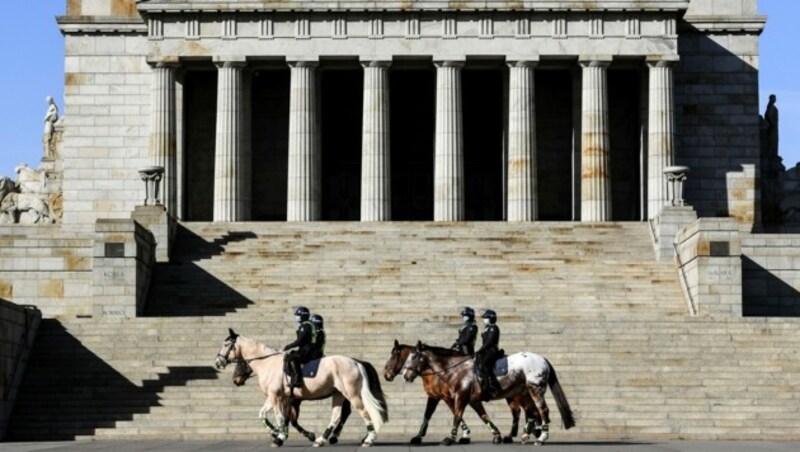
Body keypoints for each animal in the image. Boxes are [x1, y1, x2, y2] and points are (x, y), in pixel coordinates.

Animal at [212, 330, 388, 446]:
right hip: (338, 394)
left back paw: (369, 439)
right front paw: (278, 433)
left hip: (352, 394)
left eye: (226, 344)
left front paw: (279, 436)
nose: (218, 362)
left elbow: (279, 417)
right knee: (337, 415)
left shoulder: (276, 397)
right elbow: (268, 415)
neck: (267, 363)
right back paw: (321, 439)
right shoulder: (278, 397)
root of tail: (356, 362)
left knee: (363, 411)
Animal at [404, 342, 580, 444]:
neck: (454, 369)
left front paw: (450, 438)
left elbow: (457, 416)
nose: (405, 376)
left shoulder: (460, 397)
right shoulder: (470, 399)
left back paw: (542, 437)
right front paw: (496, 435)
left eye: (413, 357)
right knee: (532, 411)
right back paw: (525, 436)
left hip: (534, 389)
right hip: (525, 392)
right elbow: (483, 416)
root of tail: (543, 359)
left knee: (542, 410)